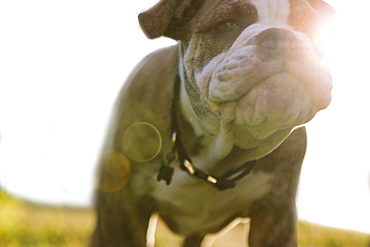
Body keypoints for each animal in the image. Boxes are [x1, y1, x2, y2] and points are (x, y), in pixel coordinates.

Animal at [91, 0, 334, 246]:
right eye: (226, 25)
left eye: (308, 26)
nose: (283, 36)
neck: (219, 153)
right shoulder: (123, 210)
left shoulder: (275, 215)